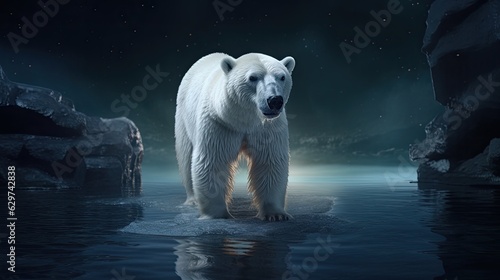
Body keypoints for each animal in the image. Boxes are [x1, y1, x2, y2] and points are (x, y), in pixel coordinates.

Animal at [175, 52, 294, 221]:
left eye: (282, 77)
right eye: (252, 77)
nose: (275, 100)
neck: (243, 120)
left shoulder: (267, 128)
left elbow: (270, 162)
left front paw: (276, 214)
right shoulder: (219, 123)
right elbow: (212, 161)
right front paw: (217, 214)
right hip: (184, 115)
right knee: (186, 155)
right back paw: (193, 200)